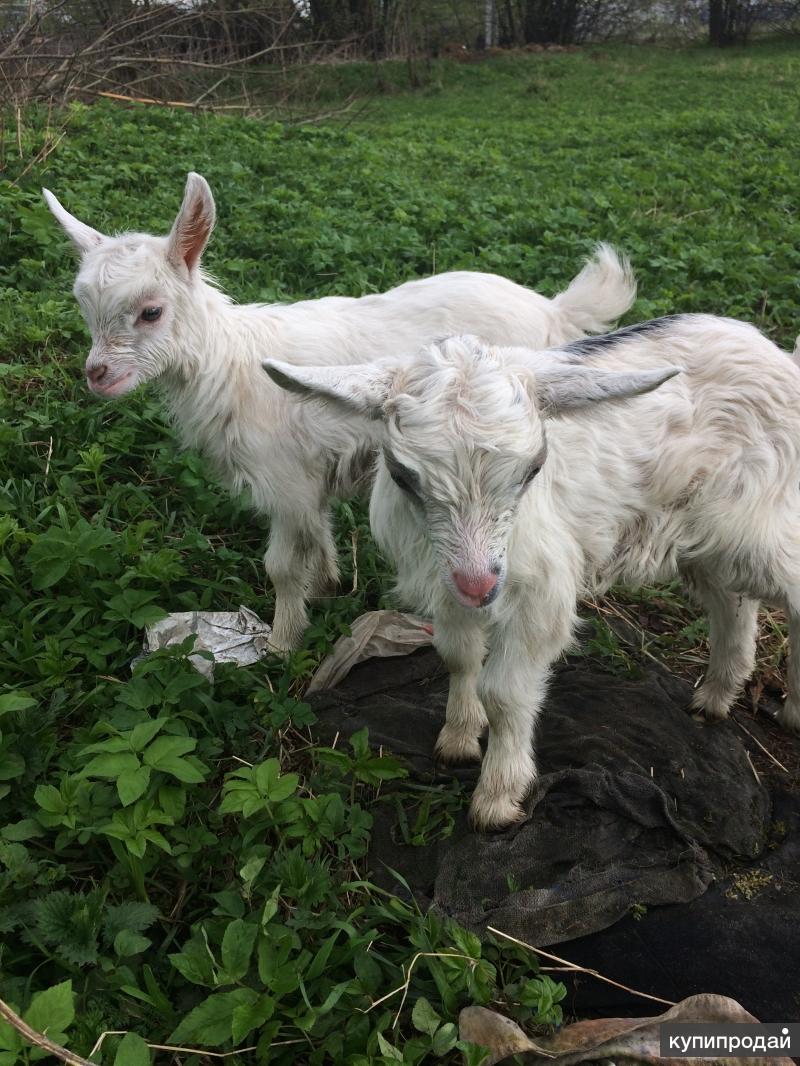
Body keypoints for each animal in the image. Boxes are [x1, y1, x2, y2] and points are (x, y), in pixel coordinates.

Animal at [44, 172, 636, 653]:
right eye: (84, 308)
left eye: (151, 312)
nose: (97, 375)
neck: (230, 364)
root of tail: (555, 311)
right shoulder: (309, 477)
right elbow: (318, 535)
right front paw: (328, 585)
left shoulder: (282, 480)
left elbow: (282, 567)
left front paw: (281, 644)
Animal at [264, 316, 800, 829]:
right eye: (401, 475)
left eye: (533, 468)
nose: (480, 586)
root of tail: (772, 353)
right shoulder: (445, 580)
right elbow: (458, 655)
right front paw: (459, 736)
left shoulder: (539, 594)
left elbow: (505, 693)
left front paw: (498, 798)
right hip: (701, 533)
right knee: (733, 601)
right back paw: (716, 696)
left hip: (756, 520)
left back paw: (791, 709)